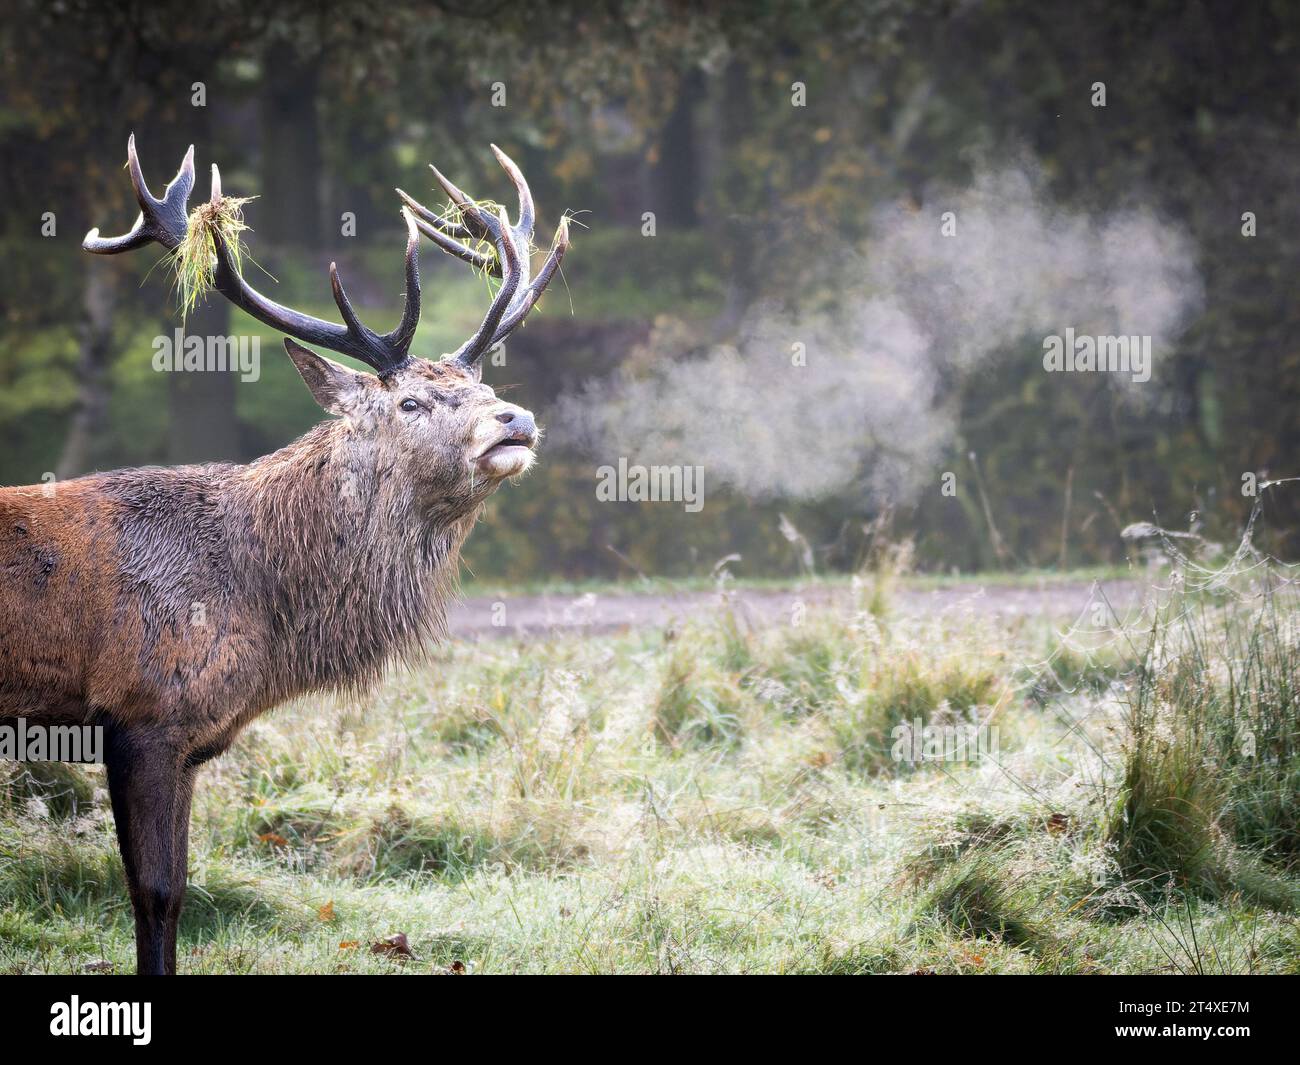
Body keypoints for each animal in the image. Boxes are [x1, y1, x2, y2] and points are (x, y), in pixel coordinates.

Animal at [0, 134, 569, 974]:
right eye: (410, 401)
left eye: (483, 385)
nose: (516, 419)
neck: (258, 610)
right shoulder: (142, 713)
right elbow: (155, 894)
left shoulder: (187, 742)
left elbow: (175, 895)